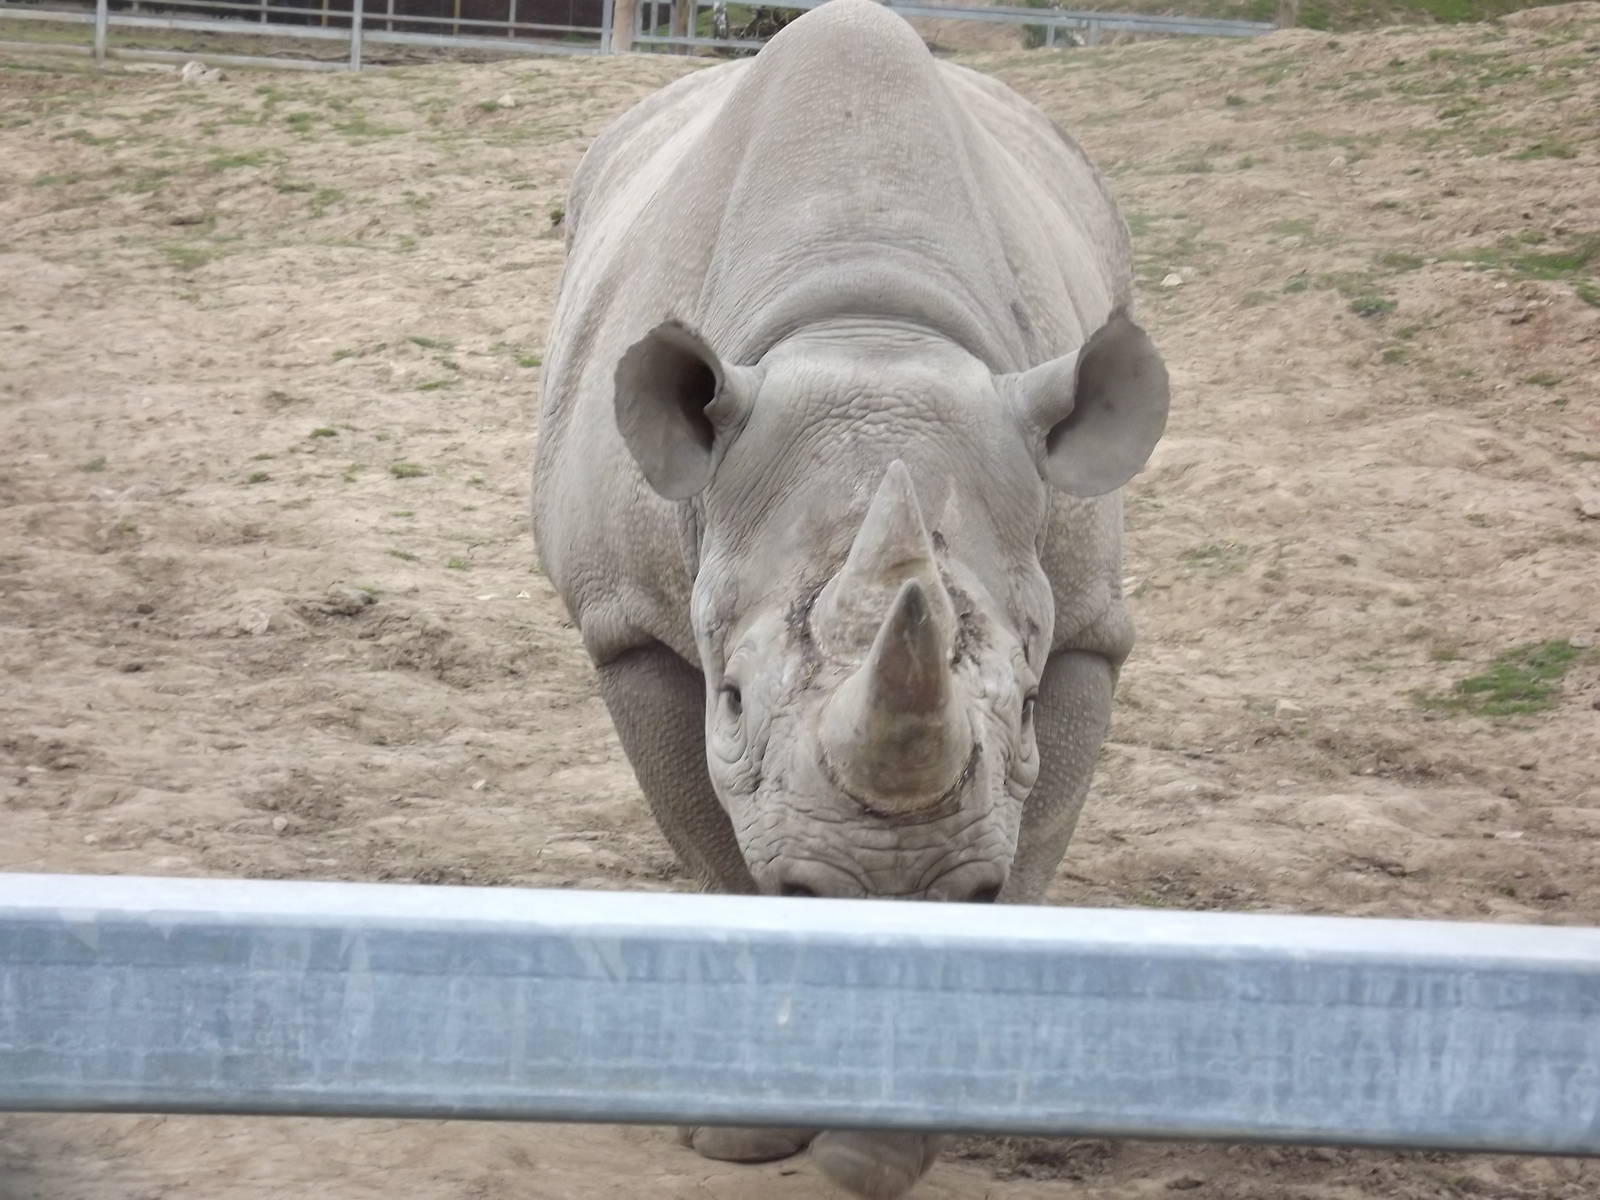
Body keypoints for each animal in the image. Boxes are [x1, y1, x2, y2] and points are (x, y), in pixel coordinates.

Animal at [531, 0, 1169, 1194]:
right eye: (731, 700)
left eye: (1019, 708)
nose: (891, 885)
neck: (869, 334)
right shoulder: (626, 625)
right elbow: (723, 851)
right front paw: (748, 1133)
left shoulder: (1087, 630)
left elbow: (1023, 867)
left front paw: (874, 1150)